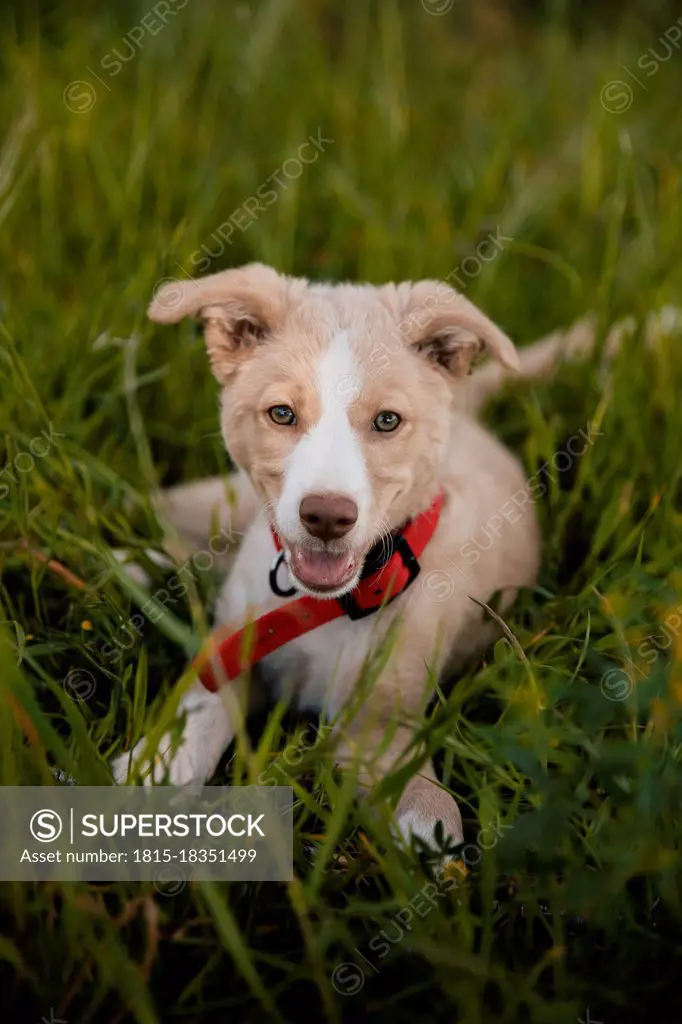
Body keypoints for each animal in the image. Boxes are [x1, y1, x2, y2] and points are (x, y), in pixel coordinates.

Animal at [109, 262, 622, 847]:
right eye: (282, 413)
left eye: (387, 421)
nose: (327, 517)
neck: (324, 605)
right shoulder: (235, 646)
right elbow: (203, 705)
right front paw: (161, 763)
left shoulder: (376, 728)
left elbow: (426, 809)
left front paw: (432, 839)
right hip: (223, 503)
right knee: (168, 519)